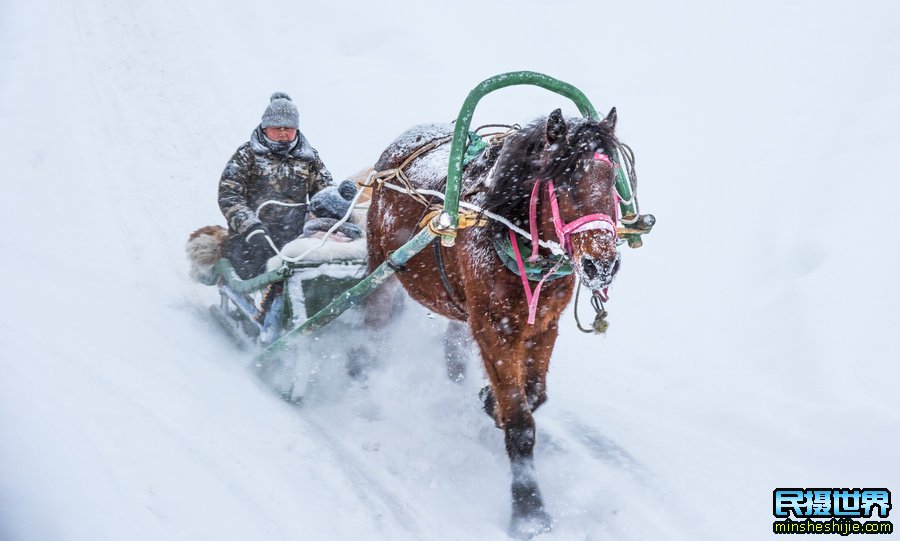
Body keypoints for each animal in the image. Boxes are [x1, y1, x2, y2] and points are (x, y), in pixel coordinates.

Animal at [362, 106, 624, 536]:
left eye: (612, 182)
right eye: (564, 184)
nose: (601, 264)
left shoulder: (543, 326)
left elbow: (534, 394)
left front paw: (490, 401)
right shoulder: (493, 330)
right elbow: (520, 422)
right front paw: (529, 511)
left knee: (453, 345)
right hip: (380, 267)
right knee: (373, 322)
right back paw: (362, 376)